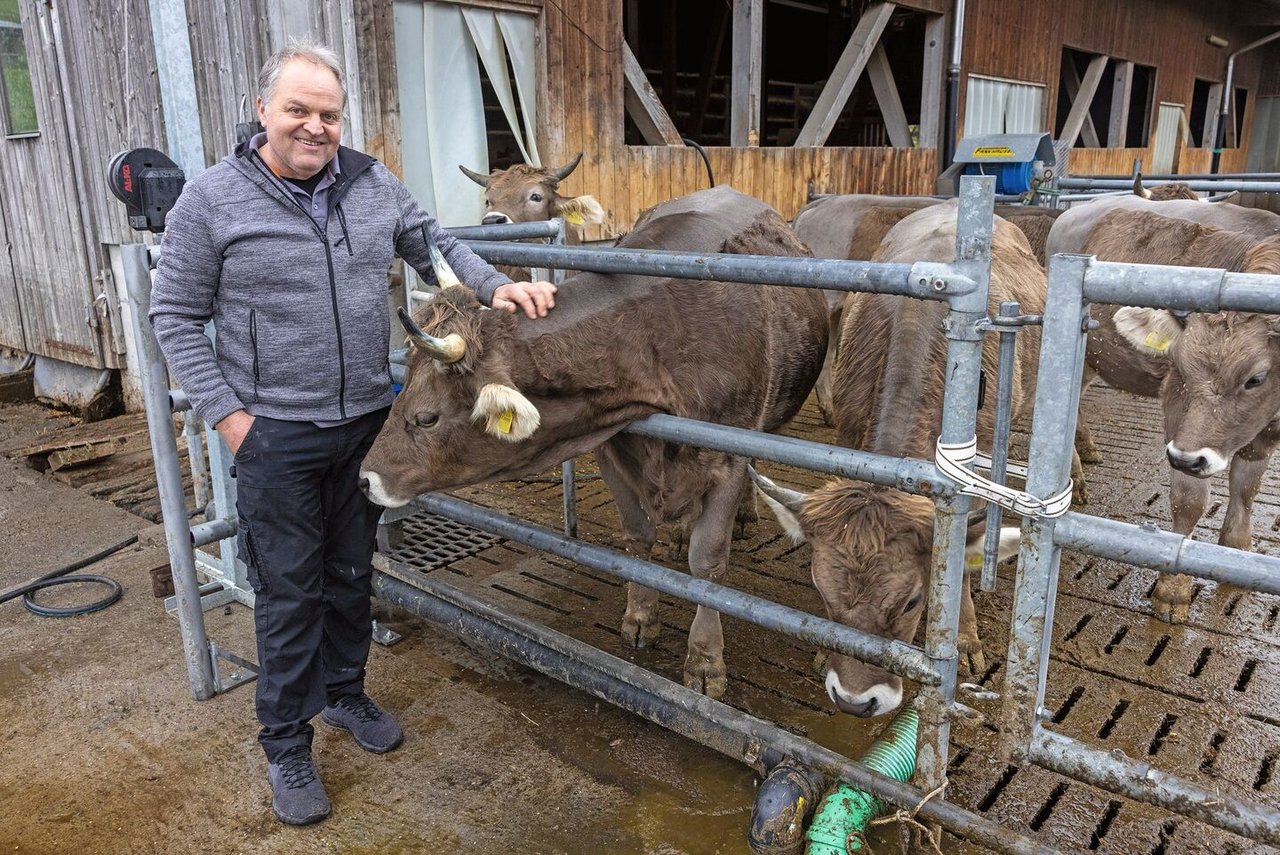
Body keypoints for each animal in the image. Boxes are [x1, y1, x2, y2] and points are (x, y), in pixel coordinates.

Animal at [358, 184, 829, 696]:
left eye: (426, 418)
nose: (365, 479)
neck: (656, 332)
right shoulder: (613, 447)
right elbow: (638, 537)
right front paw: (641, 615)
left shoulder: (727, 456)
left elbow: (707, 563)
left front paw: (705, 661)